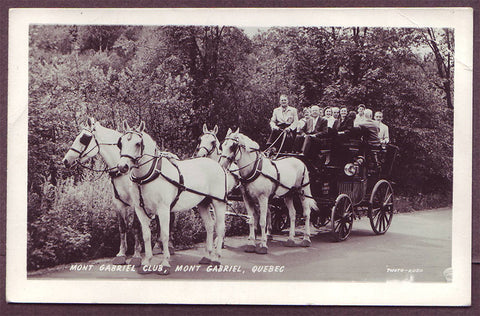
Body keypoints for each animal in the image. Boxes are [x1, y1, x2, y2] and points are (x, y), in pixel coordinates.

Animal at [117, 121, 228, 274]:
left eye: (138, 143)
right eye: (121, 143)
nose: (122, 166)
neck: (149, 175)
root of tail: (217, 165)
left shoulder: (163, 209)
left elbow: (164, 235)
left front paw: (165, 263)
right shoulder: (140, 209)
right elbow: (146, 235)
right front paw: (146, 262)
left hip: (218, 202)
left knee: (220, 227)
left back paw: (216, 258)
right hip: (203, 203)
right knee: (210, 226)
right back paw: (207, 256)